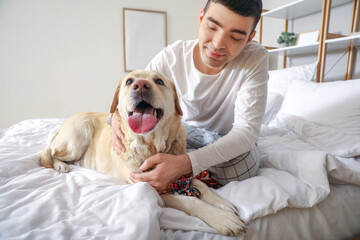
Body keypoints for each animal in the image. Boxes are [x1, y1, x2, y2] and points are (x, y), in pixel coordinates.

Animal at [40, 70, 248, 236]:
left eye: (159, 81)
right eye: (129, 81)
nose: (140, 85)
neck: (152, 146)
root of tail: (65, 122)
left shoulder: (180, 171)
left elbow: (200, 184)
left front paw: (221, 203)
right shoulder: (155, 187)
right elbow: (190, 201)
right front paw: (222, 218)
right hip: (77, 139)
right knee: (47, 153)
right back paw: (60, 165)